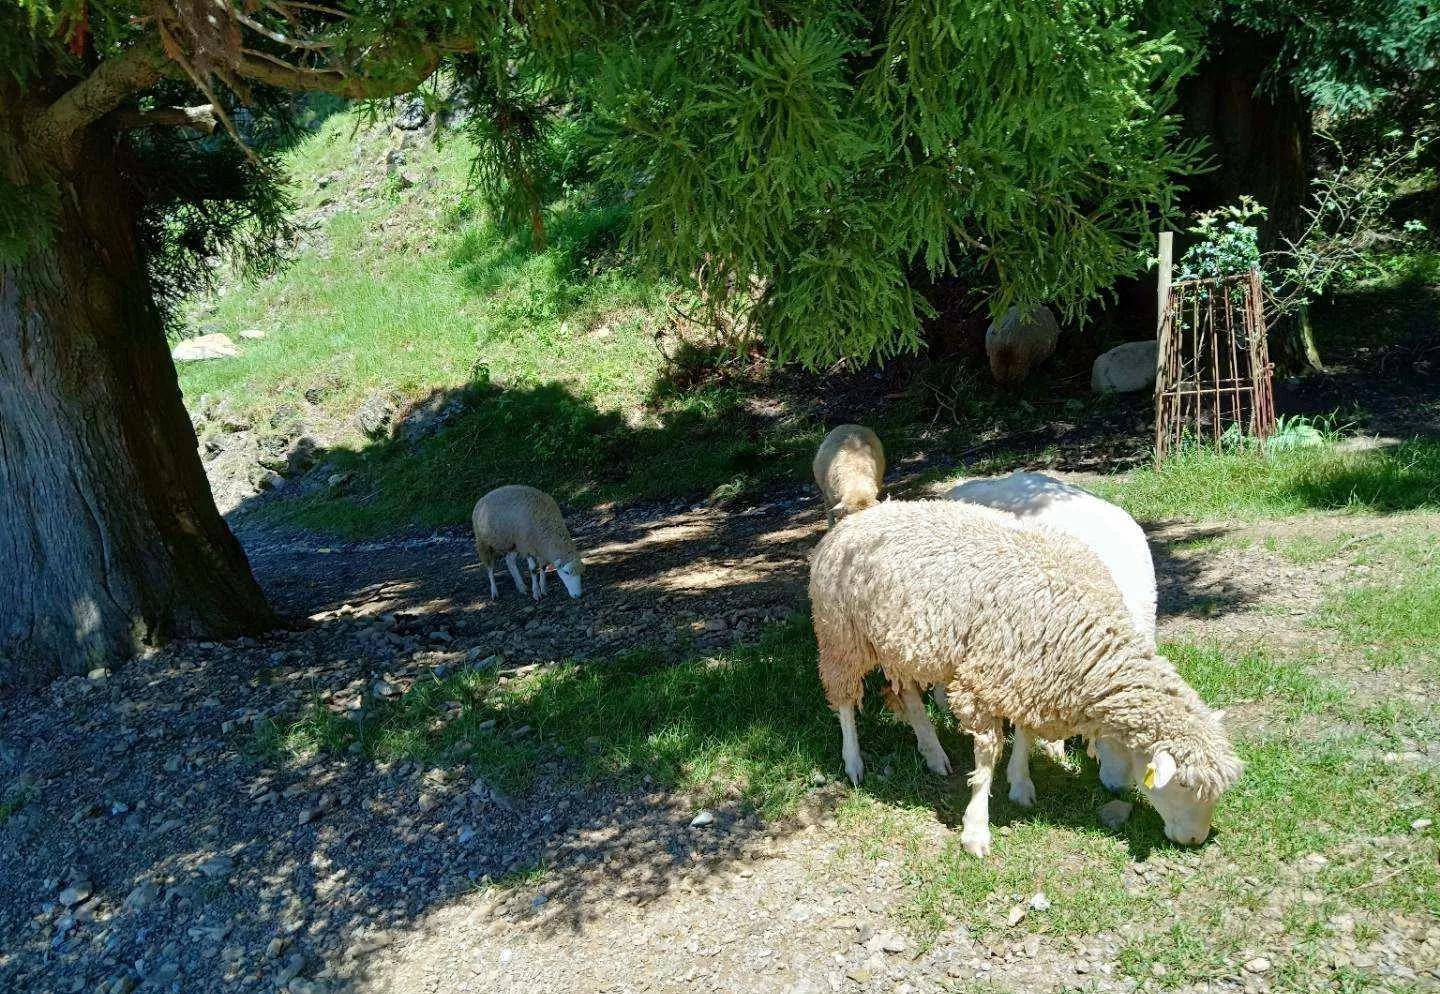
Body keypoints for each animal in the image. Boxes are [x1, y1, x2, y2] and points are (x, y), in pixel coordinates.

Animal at [812, 498, 1238, 852]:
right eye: (1181, 784)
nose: (1195, 839)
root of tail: (857, 517)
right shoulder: (984, 680)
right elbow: (987, 756)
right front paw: (976, 829)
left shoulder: (1026, 678)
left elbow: (1025, 735)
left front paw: (1020, 784)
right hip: (841, 636)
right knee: (845, 702)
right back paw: (854, 763)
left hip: (903, 648)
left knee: (909, 698)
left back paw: (933, 753)